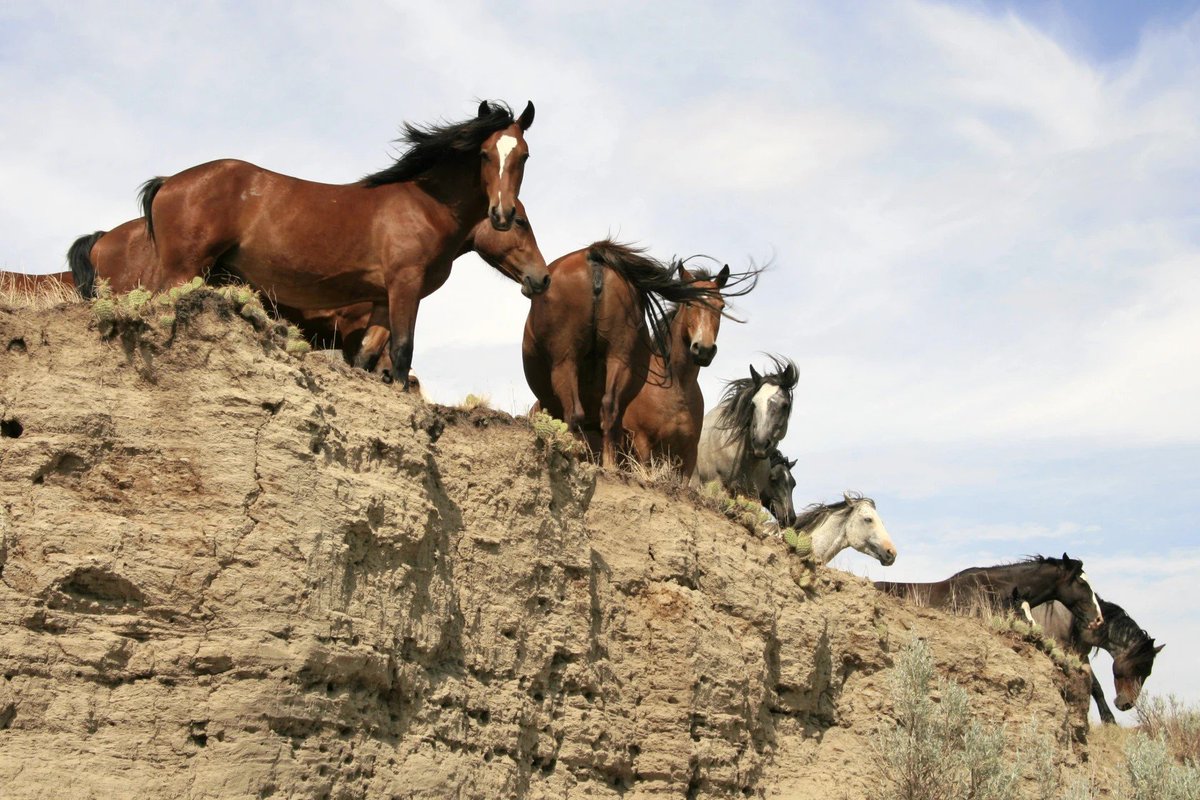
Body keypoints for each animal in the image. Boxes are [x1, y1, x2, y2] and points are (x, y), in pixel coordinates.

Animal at [117, 99, 540, 388]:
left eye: (523, 155)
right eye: (484, 154)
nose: (501, 213)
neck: (424, 205)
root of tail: (169, 181)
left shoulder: (382, 299)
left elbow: (368, 358)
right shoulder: (406, 286)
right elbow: (402, 353)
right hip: (181, 271)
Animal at [619, 263, 729, 482]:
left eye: (721, 306)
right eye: (688, 303)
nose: (704, 350)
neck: (677, 388)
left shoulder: (688, 455)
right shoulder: (643, 444)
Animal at [1032, 597, 1161, 724]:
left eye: (1147, 673)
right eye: (1137, 667)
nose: (1127, 704)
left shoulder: (1082, 657)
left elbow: (1096, 687)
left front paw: (1108, 719)